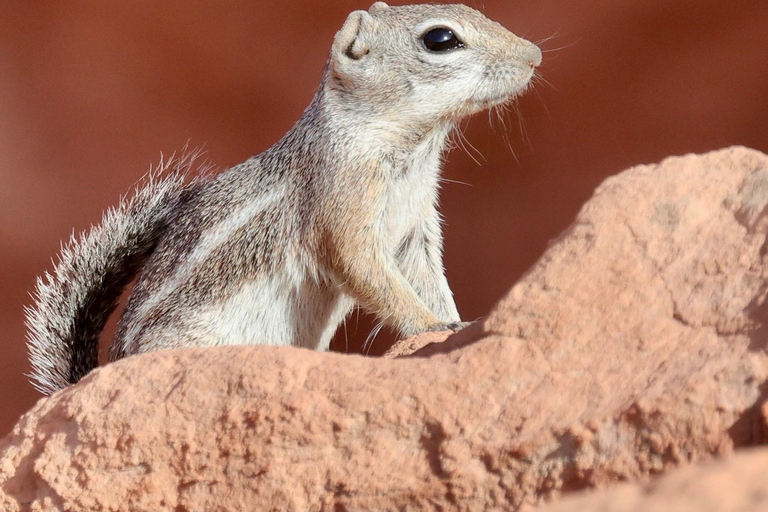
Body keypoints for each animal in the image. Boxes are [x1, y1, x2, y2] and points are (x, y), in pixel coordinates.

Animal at [24, 2, 540, 394]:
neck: (409, 150)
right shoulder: (343, 210)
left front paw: (457, 323)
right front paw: (431, 327)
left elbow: (429, 278)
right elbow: (371, 275)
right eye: (440, 39)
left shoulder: (416, 230)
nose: (534, 54)